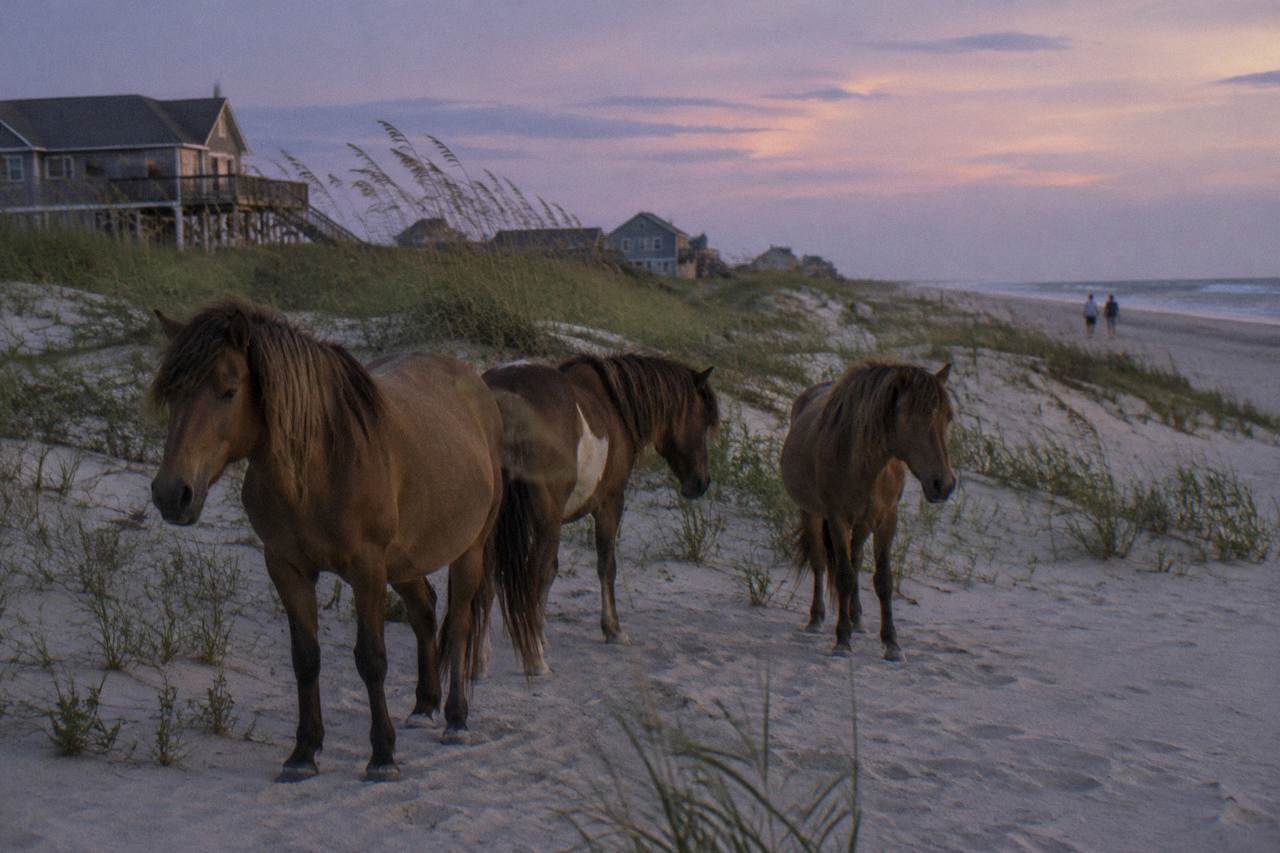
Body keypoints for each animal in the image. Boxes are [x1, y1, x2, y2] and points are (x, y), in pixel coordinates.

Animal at [148, 300, 539, 781]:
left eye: (228, 390)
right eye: (171, 394)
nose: (172, 494)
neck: (320, 466)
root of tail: (477, 386)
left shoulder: (366, 569)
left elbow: (371, 659)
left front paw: (383, 755)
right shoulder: (287, 567)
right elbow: (305, 657)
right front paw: (303, 752)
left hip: (469, 550)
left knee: (461, 625)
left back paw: (455, 719)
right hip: (406, 560)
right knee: (425, 612)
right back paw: (423, 706)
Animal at [482, 353, 719, 674]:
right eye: (704, 421)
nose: (701, 482)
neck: (614, 404)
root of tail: (506, 396)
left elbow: (552, 572)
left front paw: (540, 633)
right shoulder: (609, 505)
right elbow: (606, 566)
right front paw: (613, 629)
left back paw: (482, 653)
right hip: (544, 521)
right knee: (530, 574)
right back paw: (535, 660)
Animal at [780, 360, 956, 661]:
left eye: (948, 417)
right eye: (913, 418)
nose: (943, 484)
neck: (865, 465)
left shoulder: (886, 519)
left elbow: (882, 580)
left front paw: (892, 644)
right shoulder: (837, 518)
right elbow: (844, 576)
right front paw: (842, 640)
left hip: (863, 524)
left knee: (856, 557)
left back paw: (857, 619)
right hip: (811, 513)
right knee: (820, 562)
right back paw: (817, 618)